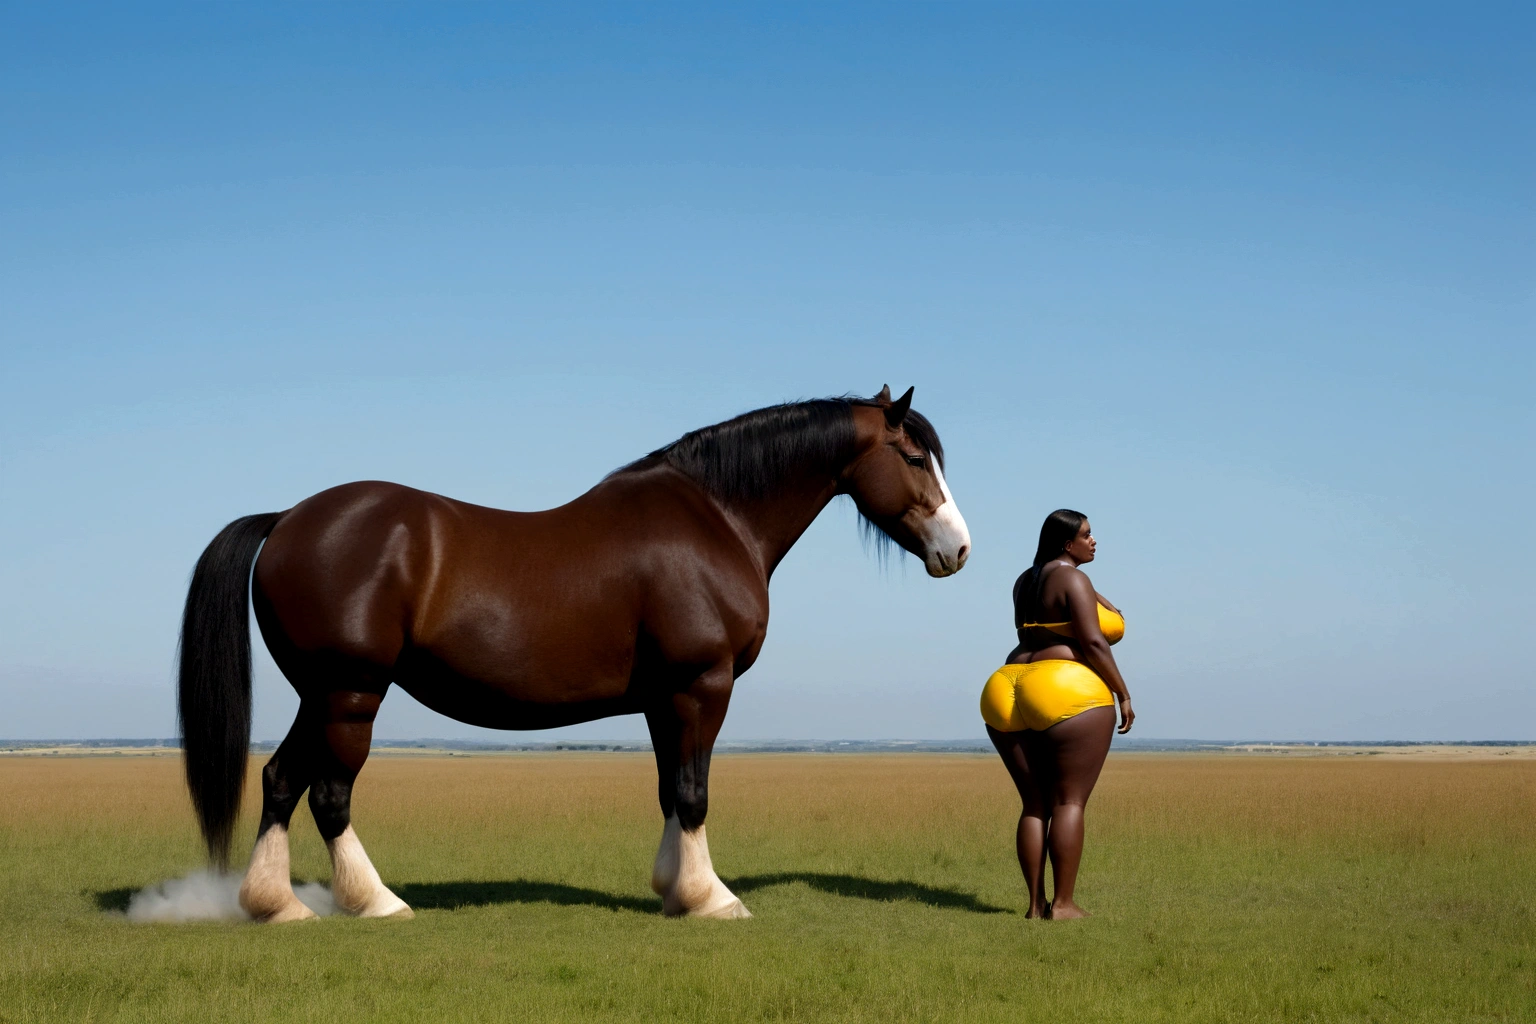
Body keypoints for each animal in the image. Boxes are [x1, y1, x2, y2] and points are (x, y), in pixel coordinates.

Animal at [176, 388, 970, 927]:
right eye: (911, 456)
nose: (958, 549)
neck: (717, 519)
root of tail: (287, 519)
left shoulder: (663, 698)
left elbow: (668, 790)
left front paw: (673, 891)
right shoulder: (701, 685)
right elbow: (694, 792)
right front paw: (713, 899)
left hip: (320, 693)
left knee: (281, 780)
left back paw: (278, 906)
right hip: (350, 692)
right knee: (329, 792)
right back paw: (377, 902)